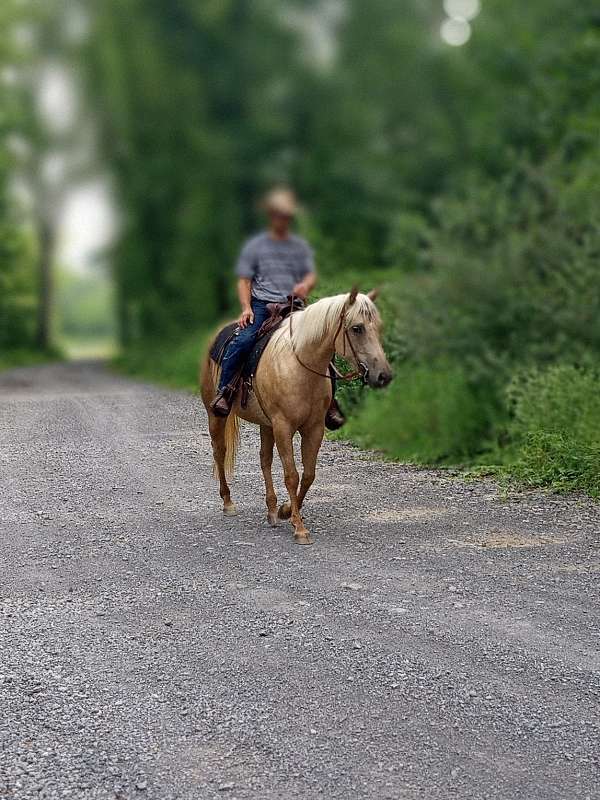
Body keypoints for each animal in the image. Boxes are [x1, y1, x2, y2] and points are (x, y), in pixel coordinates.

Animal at [199, 290, 392, 548]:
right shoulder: (284, 427)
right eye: (357, 328)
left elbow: (308, 475)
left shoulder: (314, 428)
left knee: (265, 460)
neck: (301, 366)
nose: (383, 376)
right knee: (220, 452)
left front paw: (286, 511)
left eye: (378, 327)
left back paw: (272, 511)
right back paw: (228, 502)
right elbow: (292, 476)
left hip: (266, 424)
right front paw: (299, 528)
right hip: (216, 415)